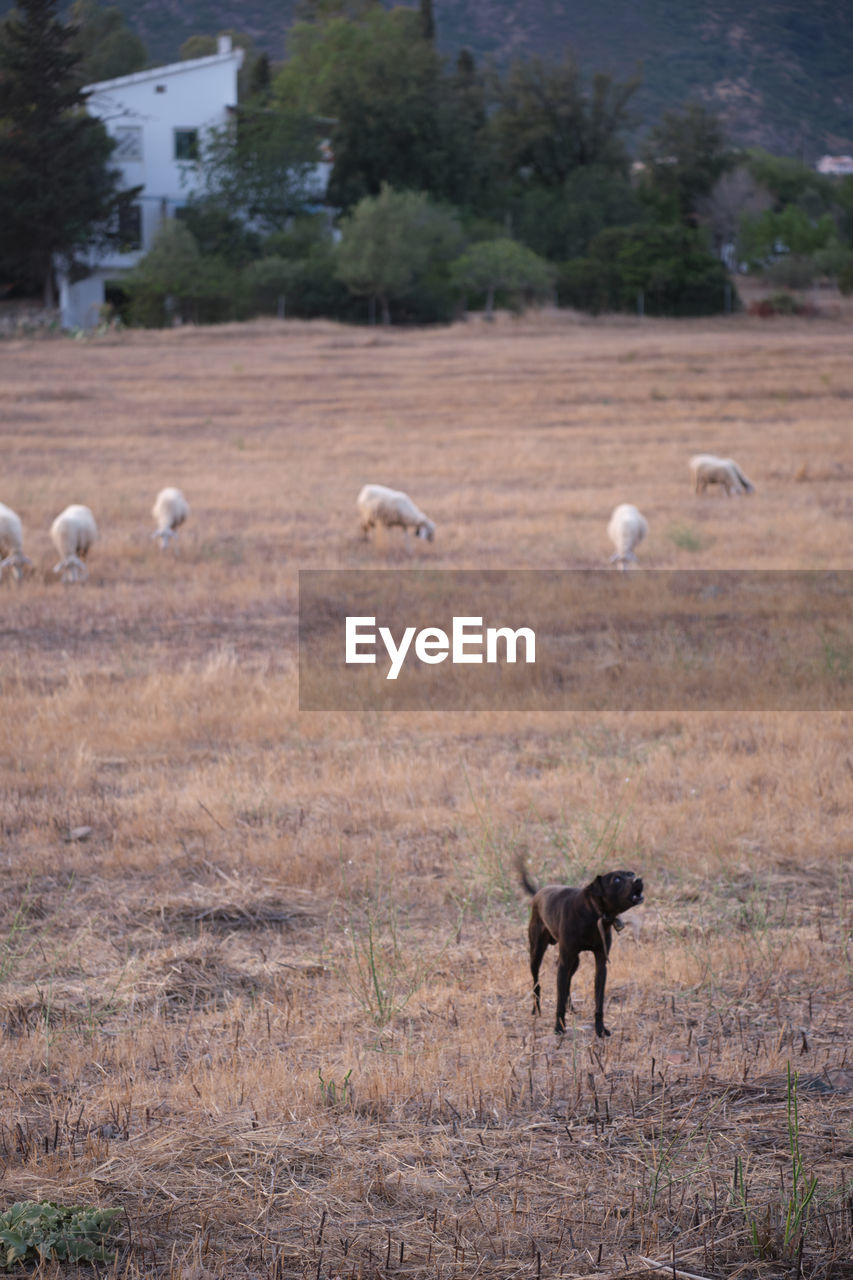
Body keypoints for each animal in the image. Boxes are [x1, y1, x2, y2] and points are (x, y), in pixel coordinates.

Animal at [514, 865, 640, 1034]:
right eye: (617, 880)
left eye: (631, 873)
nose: (638, 880)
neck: (593, 912)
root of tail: (539, 892)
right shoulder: (564, 963)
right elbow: (559, 1001)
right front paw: (559, 1028)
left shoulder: (600, 964)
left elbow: (598, 1001)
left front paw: (600, 1029)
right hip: (536, 954)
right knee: (537, 983)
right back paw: (536, 1009)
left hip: (574, 961)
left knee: (567, 982)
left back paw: (570, 1007)